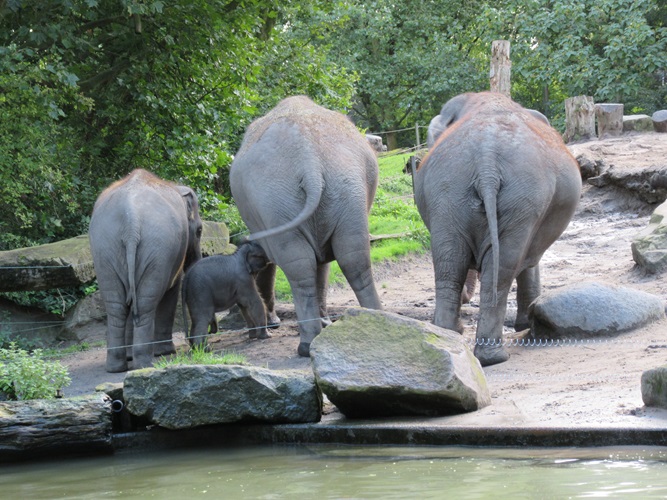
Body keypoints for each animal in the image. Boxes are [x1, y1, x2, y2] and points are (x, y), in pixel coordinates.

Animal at [89, 168, 204, 372]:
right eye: (199, 230)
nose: (189, 343)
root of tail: (131, 220)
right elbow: (171, 290)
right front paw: (166, 352)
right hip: (157, 249)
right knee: (144, 305)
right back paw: (144, 363)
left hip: (105, 249)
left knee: (117, 306)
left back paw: (117, 366)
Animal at [230, 95, 384, 358]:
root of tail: (309, 159)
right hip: (346, 188)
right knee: (354, 258)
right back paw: (374, 327)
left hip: (275, 201)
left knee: (300, 269)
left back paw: (306, 346)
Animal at [414, 92, 580, 368]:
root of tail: (487, 163)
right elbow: (529, 261)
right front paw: (525, 324)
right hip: (525, 199)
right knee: (503, 268)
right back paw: (494, 357)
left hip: (449, 192)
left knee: (450, 263)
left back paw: (449, 337)